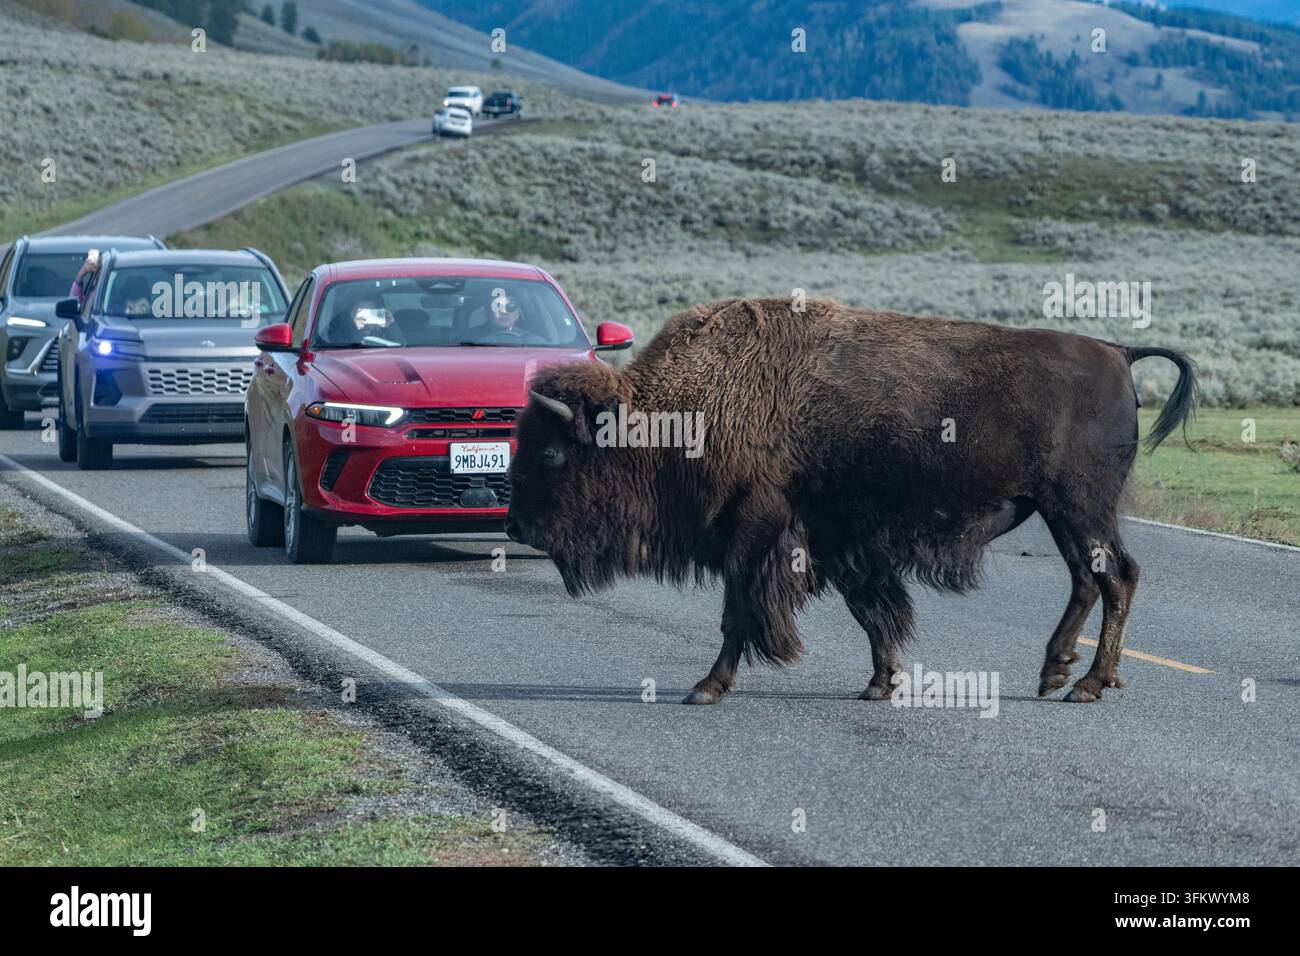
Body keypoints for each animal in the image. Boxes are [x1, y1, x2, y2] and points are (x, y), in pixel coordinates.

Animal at [505, 298, 1196, 705]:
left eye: (551, 454)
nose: (518, 527)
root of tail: (1118, 353)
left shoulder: (754, 531)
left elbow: (739, 612)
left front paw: (707, 687)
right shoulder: (835, 540)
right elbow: (871, 612)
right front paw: (880, 682)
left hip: (1081, 507)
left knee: (1117, 577)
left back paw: (1089, 684)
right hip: (1061, 512)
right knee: (1089, 578)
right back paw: (1057, 673)